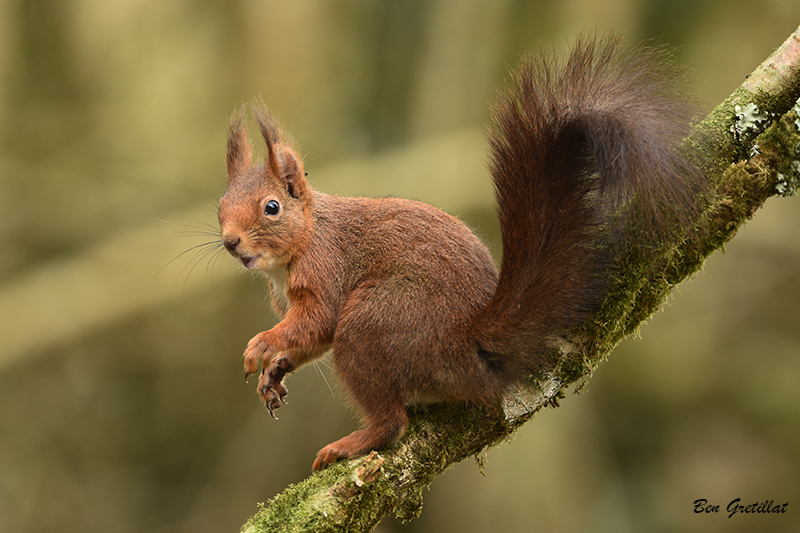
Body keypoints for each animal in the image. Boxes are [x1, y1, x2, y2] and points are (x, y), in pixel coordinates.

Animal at [216, 35, 704, 470]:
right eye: (220, 206)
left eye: (272, 207)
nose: (229, 242)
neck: (301, 244)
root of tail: (468, 342)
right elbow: (311, 337)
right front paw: (276, 370)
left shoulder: (326, 270)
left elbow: (317, 321)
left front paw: (262, 345)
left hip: (374, 324)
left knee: (393, 421)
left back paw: (350, 444)